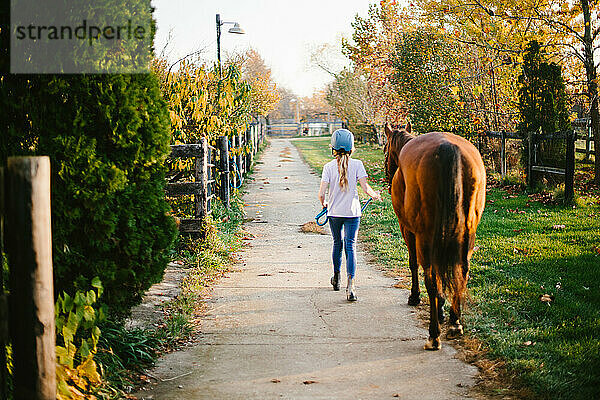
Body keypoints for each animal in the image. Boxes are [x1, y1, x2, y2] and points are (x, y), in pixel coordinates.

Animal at [384, 123, 488, 348]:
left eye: (385, 151)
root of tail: (449, 148)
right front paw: (442, 309)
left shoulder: (408, 230)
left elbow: (413, 264)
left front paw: (416, 297)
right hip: (468, 235)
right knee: (462, 271)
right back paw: (455, 323)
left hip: (424, 237)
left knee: (431, 277)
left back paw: (434, 335)